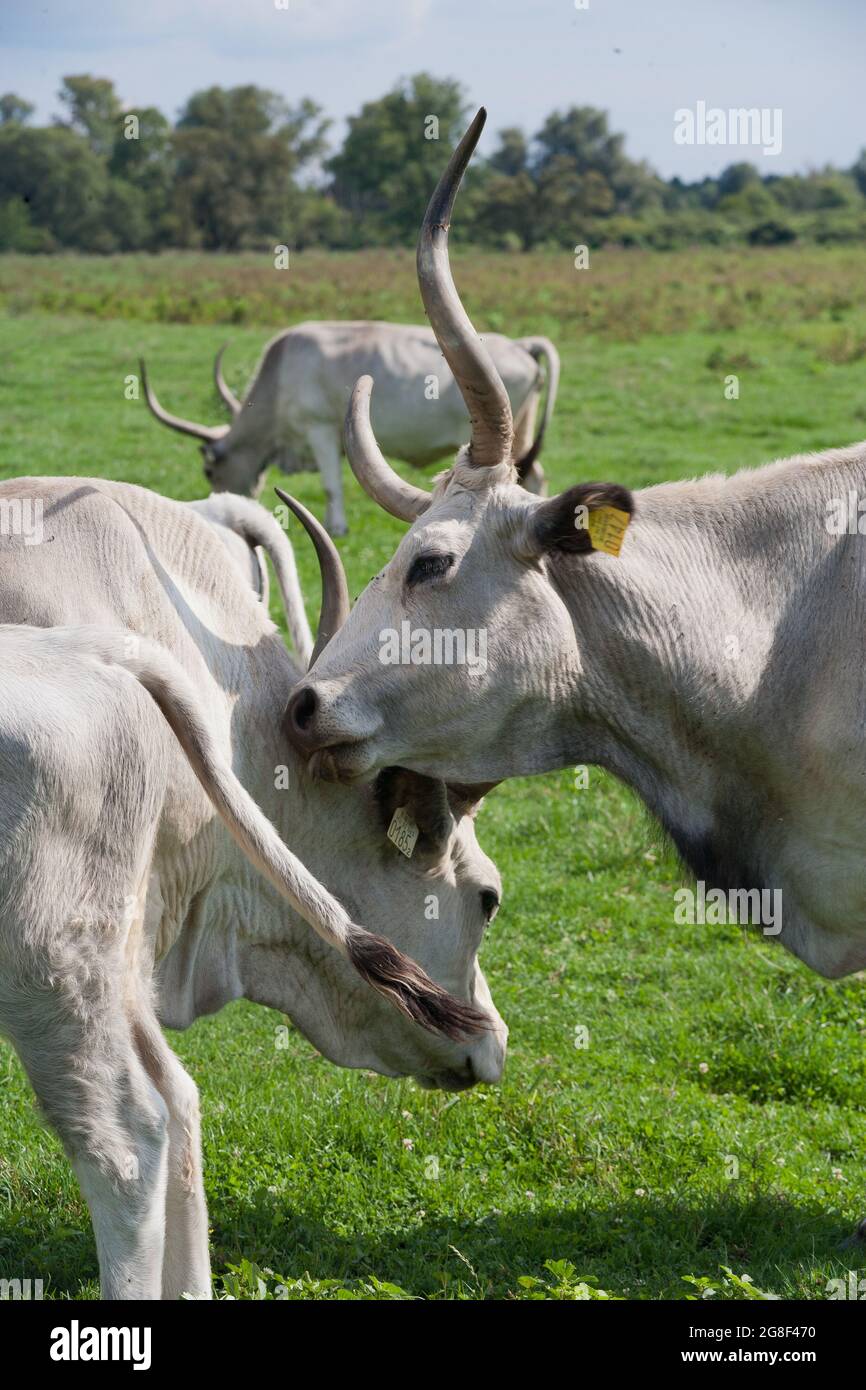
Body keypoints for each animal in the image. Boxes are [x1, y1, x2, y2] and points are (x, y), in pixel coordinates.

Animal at [0, 483, 508, 1295]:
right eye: (487, 899)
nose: (495, 1041)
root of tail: (105, 651)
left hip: (53, 970)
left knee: (126, 1134)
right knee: (167, 1108)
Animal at [140, 322, 561, 533]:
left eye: (210, 471)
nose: (219, 511)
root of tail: (521, 345)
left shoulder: (321, 430)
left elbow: (331, 485)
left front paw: (337, 527)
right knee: (536, 476)